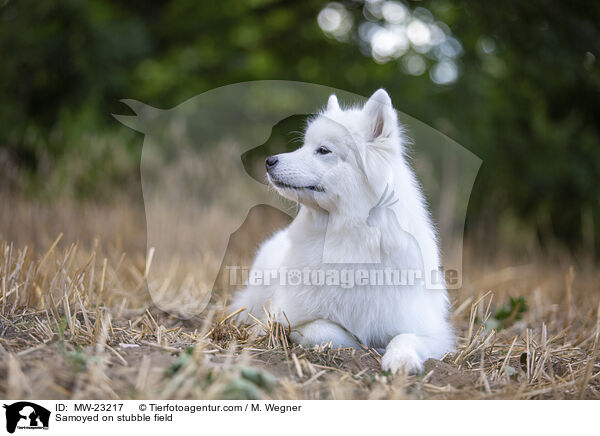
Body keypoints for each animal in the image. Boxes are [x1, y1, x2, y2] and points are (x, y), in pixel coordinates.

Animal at [231, 90, 454, 372]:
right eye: (303, 145)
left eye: (323, 150)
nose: (269, 161)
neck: (348, 237)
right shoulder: (289, 317)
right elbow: (328, 330)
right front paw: (361, 345)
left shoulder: (429, 330)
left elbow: (405, 338)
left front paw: (400, 360)